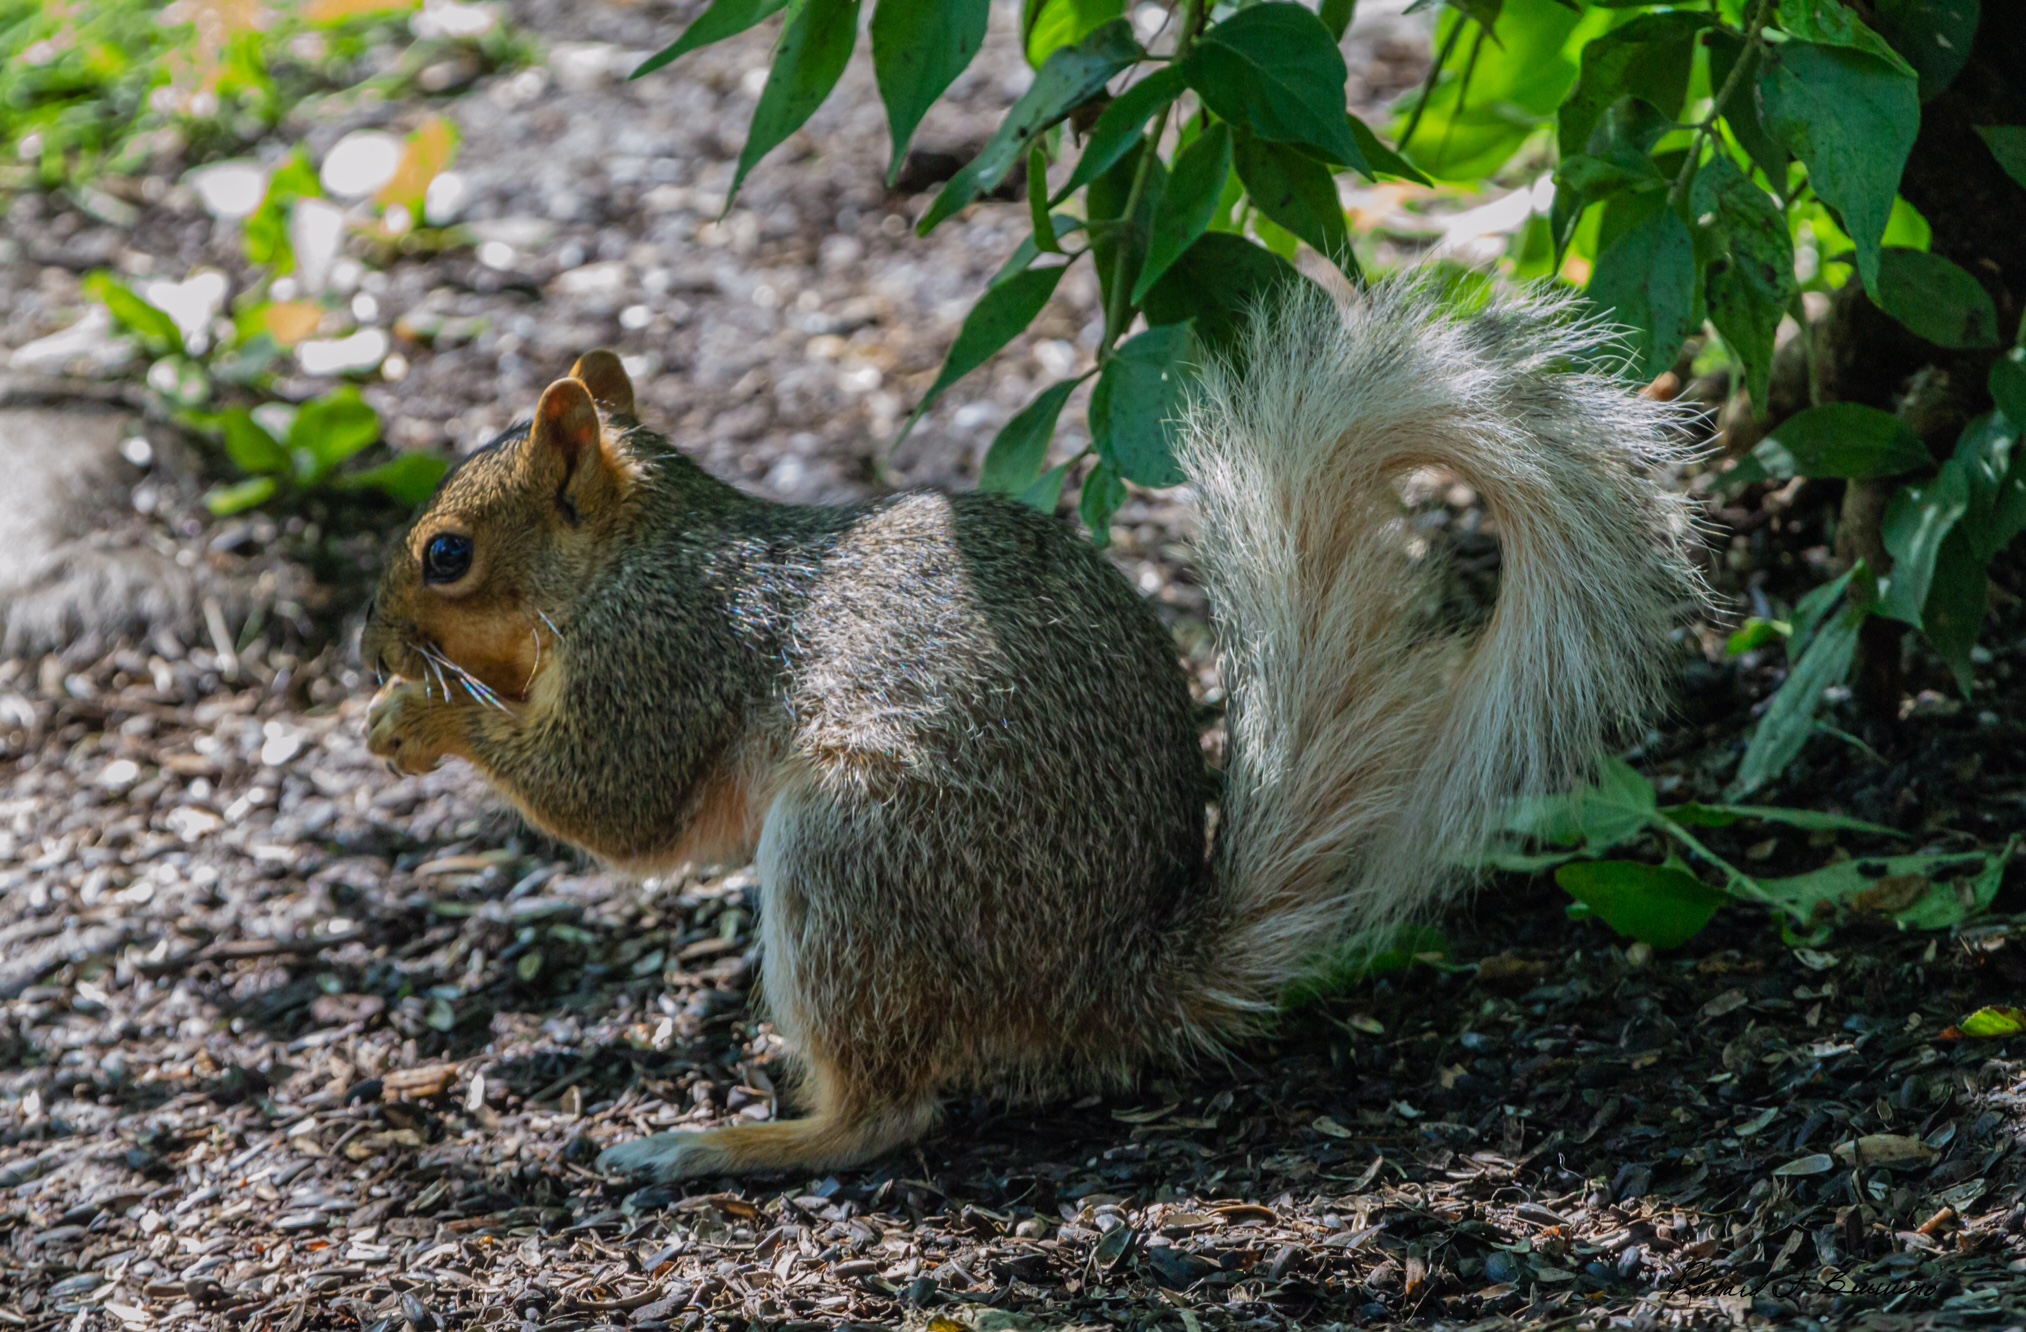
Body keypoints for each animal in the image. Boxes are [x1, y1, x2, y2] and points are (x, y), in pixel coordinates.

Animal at [360, 277, 1693, 1175]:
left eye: (447, 554)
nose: (367, 648)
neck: (637, 552)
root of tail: (1103, 980)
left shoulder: (662, 651)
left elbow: (618, 803)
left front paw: (419, 715)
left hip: (858, 856)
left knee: (888, 1111)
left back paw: (735, 1144)